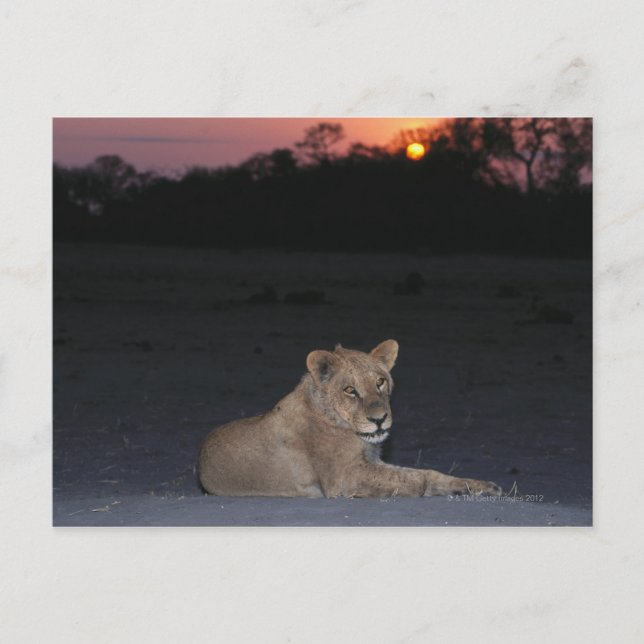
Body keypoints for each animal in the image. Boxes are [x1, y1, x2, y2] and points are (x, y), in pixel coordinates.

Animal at [197, 340, 501, 498]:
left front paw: (478, 486)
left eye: (380, 382)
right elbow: (415, 478)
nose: (380, 419)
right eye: (350, 390)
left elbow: (424, 473)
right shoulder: (342, 478)